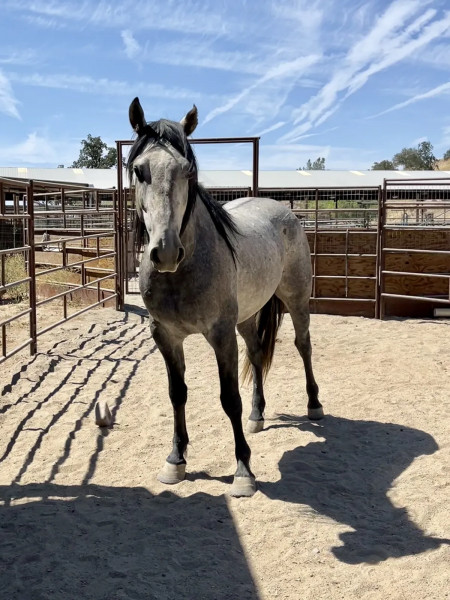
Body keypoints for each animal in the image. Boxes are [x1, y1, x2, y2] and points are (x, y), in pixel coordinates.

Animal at [124, 98, 324, 496]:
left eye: (188, 171)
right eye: (139, 170)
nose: (165, 252)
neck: (181, 273)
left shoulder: (220, 335)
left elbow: (229, 398)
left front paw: (243, 470)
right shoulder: (165, 336)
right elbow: (177, 393)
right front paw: (176, 460)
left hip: (297, 300)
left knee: (303, 344)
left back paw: (314, 404)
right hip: (247, 317)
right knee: (258, 352)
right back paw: (258, 414)